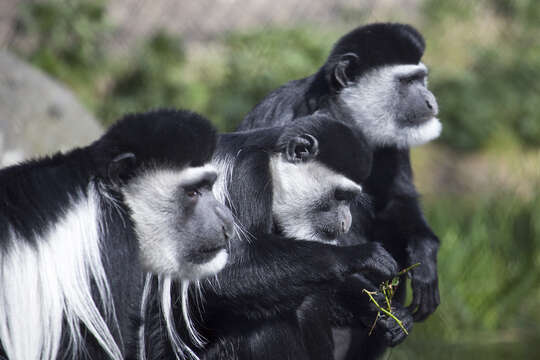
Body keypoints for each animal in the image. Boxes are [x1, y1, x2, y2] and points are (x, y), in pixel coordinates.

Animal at [143, 114, 404, 360]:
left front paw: (384, 311)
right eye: (340, 195)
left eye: (349, 199)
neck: (271, 161)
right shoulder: (247, 174)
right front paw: (362, 255)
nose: (345, 223)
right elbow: (224, 273)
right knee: (266, 324)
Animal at [238, 23, 440, 360]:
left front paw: (425, 258)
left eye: (420, 78)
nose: (432, 102)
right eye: (407, 81)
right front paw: (376, 305)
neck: (341, 117)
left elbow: (397, 199)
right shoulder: (281, 120)